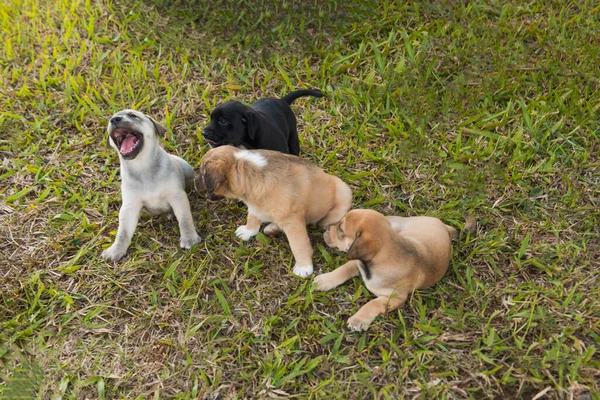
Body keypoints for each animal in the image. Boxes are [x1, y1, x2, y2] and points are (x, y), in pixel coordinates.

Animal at [99, 111, 200, 264]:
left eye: (133, 115)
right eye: (110, 120)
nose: (114, 119)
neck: (142, 165)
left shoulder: (177, 197)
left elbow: (185, 219)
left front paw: (189, 238)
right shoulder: (130, 207)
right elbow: (123, 233)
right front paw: (116, 250)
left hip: (186, 168)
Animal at [195, 146, 352, 278]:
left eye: (202, 174)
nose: (194, 183)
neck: (246, 170)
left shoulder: (293, 222)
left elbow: (298, 245)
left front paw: (303, 266)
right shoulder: (255, 206)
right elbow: (252, 218)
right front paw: (248, 231)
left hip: (343, 193)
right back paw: (272, 228)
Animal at [314, 209, 454, 332]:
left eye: (341, 229)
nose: (324, 228)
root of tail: (441, 223)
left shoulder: (396, 298)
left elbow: (373, 303)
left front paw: (358, 320)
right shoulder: (358, 261)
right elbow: (343, 269)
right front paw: (324, 280)